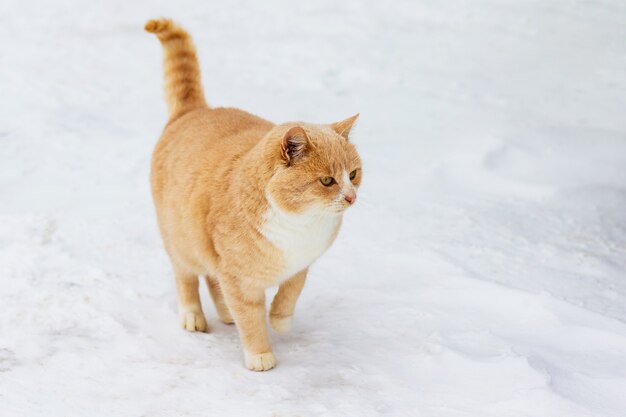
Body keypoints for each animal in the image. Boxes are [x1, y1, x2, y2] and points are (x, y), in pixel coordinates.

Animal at [144, 18, 360, 370]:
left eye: (353, 174)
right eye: (327, 181)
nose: (351, 197)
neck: (300, 224)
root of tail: (194, 110)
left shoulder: (302, 262)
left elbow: (291, 290)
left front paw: (281, 319)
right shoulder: (238, 278)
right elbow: (250, 319)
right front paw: (260, 354)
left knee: (212, 280)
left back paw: (225, 313)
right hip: (180, 240)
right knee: (187, 277)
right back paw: (194, 315)